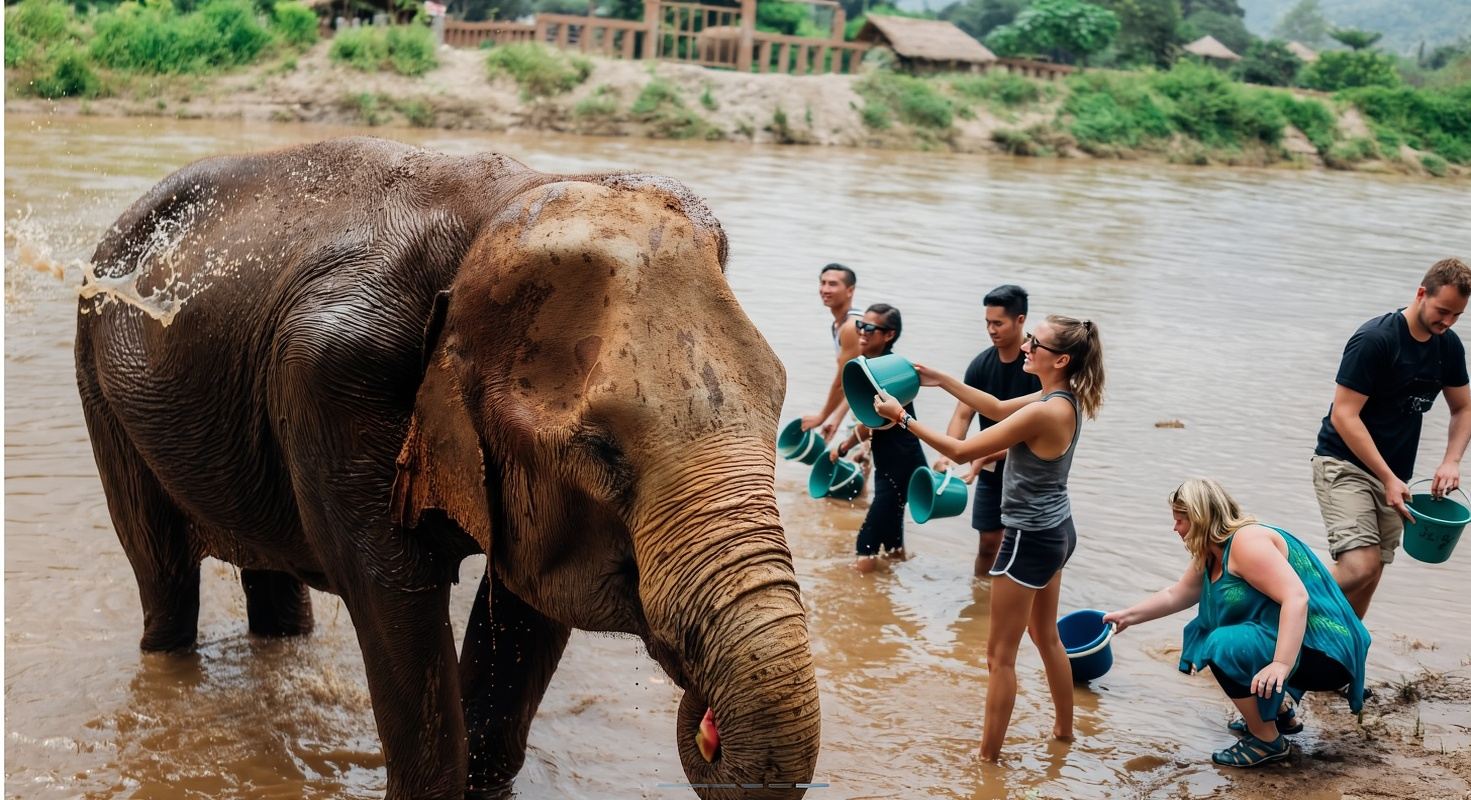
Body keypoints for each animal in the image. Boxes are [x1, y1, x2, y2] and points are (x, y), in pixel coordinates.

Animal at [74, 137, 820, 799]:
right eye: (602, 450)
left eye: (778, 410)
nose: (707, 726)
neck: (495, 213)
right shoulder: (327, 382)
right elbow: (396, 594)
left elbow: (524, 608)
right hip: (100, 386)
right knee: (163, 573)